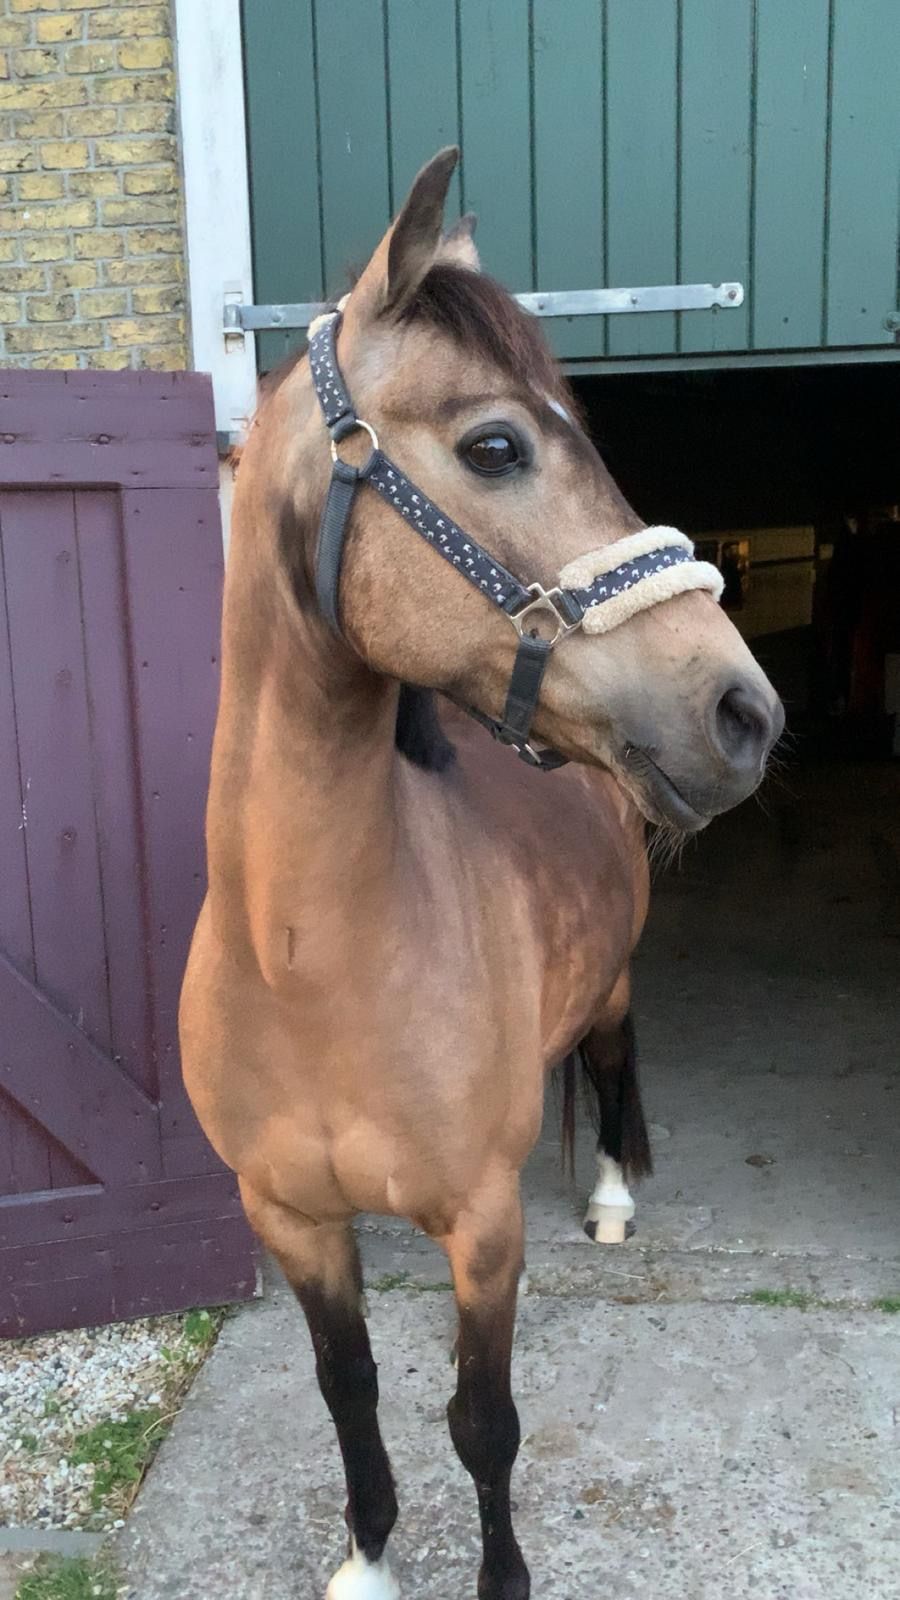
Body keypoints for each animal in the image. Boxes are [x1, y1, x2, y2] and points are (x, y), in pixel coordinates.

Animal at [180, 148, 783, 1600]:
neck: (311, 960)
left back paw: (614, 1196)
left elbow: (482, 1422)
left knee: (615, 1057)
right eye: (496, 444)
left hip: (614, 979)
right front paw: (366, 1557)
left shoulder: (483, 1226)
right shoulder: (292, 1219)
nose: (745, 710)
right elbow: (348, 1389)